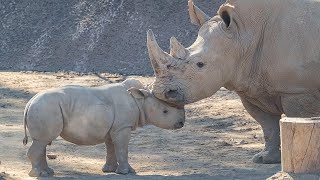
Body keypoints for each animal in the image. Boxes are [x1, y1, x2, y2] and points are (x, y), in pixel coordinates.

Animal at [23, 79, 185, 177]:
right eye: (165, 112)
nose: (181, 123)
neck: (140, 101)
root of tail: (29, 103)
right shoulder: (122, 127)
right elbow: (122, 149)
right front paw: (127, 172)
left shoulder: (113, 128)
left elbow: (112, 148)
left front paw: (109, 170)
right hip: (45, 108)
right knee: (41, 142)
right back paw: (38, 175)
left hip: (44, 109)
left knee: (42, 142)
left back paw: (48, 173)